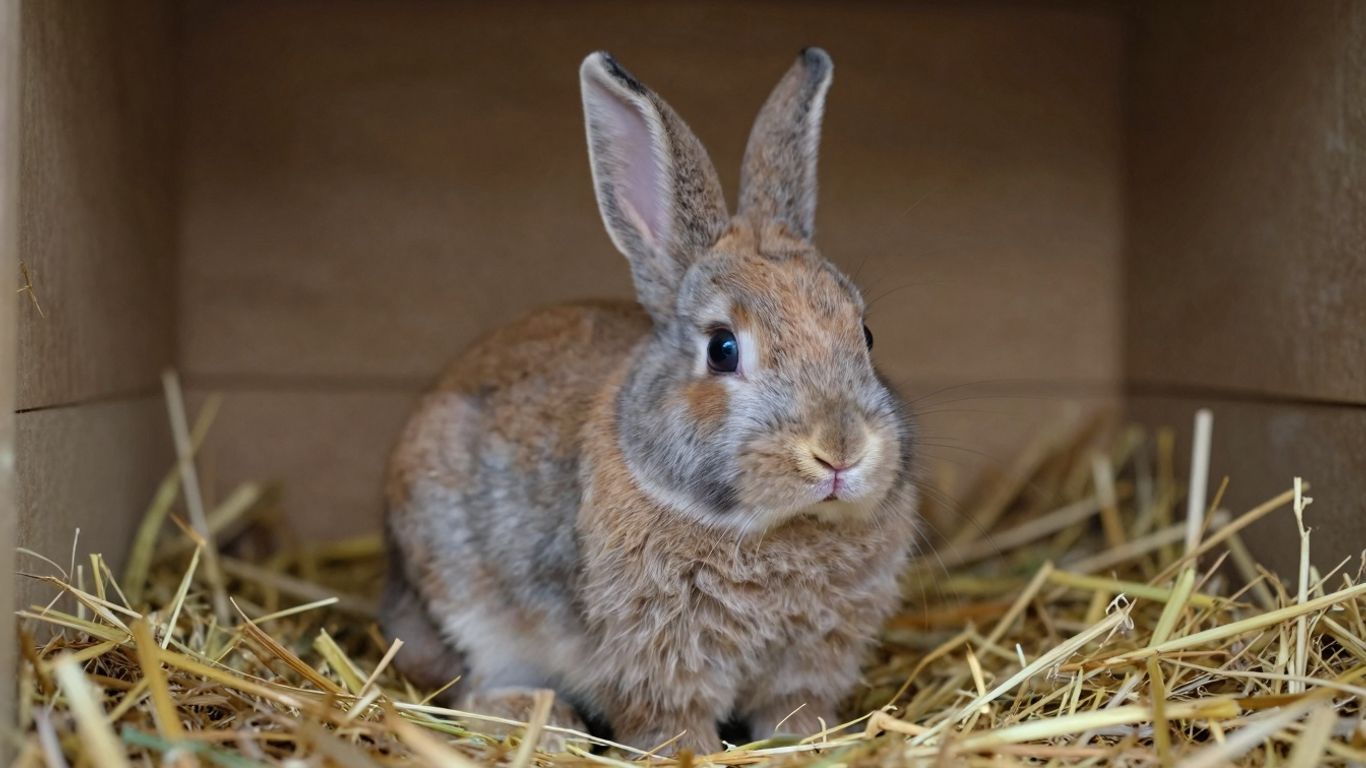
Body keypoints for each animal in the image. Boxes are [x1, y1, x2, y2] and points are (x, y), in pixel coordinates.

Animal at [382, 47, 919, 755]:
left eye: (866, 334)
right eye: (722, 349)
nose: (840, 450)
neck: (776, 529)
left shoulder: (810, 659)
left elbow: (794, 716)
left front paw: (817, 744)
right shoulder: (658, 658)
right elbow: (671, 724)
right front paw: (694, 755)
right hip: (464, 601)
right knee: (470, 690)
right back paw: (545, 724)